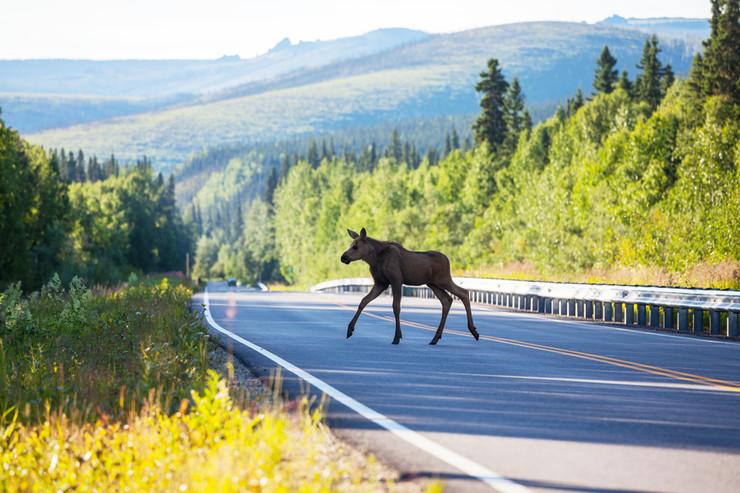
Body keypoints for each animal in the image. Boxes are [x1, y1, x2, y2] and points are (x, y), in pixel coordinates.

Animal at [342, 229, 480, 344]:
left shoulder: (396, 280)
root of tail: (448, 260)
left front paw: (397, 337)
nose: (343, 257)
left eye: (355, 247)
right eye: (350, 245)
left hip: (443, 279)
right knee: (447, 300)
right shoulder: (381, 283)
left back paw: (473, 331)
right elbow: (363, 301)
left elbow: (396, 307)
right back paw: (435, 338)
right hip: (433, 284)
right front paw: (350, 329)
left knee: (463, 293)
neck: (374, 259)